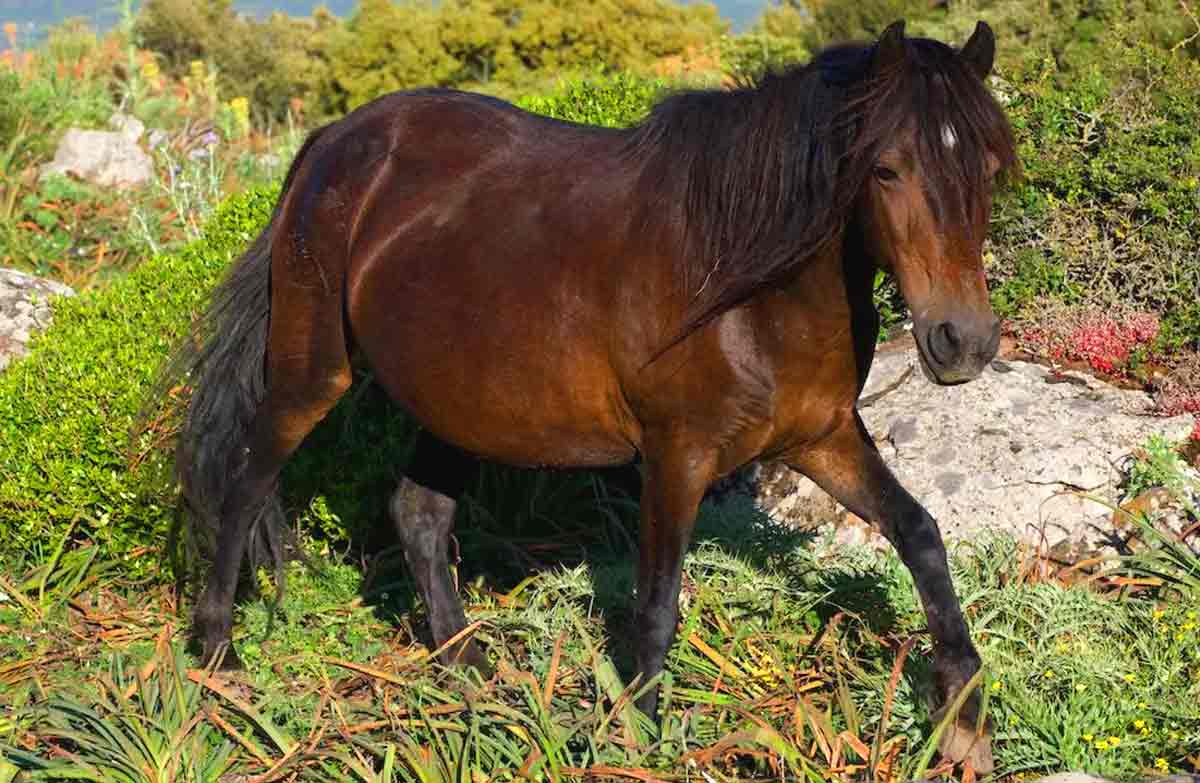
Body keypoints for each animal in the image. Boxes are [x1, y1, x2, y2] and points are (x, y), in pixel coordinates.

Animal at [157, 19, 1017, 771]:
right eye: (886, 168)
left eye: (987, 168)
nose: (962, 341)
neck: (750, 288)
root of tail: (330, 145)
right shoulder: (676, 454)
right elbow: (657, 605)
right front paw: (638, 735)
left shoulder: (822, 437)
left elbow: (920, 534)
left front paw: (963, 718)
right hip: (313, 371)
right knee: (246, 483)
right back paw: (218, 654)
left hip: (458, 400)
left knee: (420, 514)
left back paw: (468, 668)